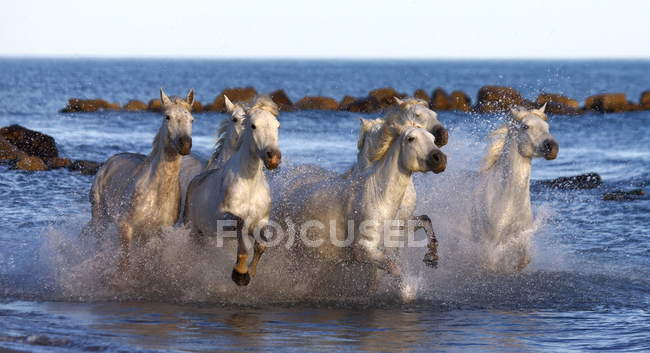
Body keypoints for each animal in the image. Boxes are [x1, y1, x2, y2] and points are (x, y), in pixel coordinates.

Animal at [89, 87, 195, 272]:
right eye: (167, 117)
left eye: (192, 119)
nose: (185, 144)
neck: (155, 191)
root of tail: (108, 163)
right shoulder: (125, 228)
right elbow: (124, 265)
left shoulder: (157, 235)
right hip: (99, 217)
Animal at [185, 95, 280, 286]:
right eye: (253, 125)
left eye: (277, 125)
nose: (273, 157)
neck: (250, 184)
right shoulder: (225, 218)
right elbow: (242, 233)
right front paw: (240, 274)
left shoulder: (261, 221)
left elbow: (262, 244)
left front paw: (251, 272)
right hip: (195, 231)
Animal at [276, 119, 448, 290]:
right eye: (411, 139)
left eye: (433, 139)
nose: (440, 159)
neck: (379, 199)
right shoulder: (364, 250)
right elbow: (394, 269)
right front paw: (406, 290)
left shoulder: (396, 234)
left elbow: (425, 220)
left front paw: (431, 258)